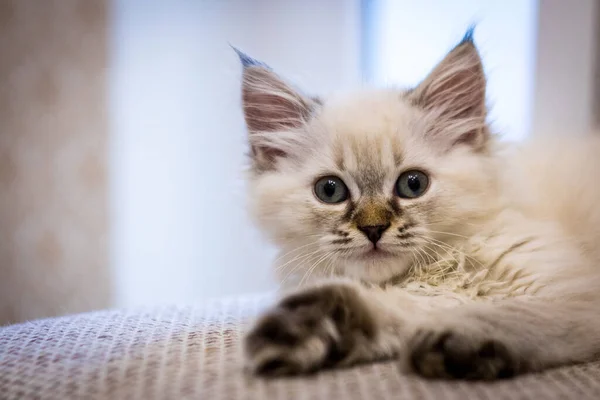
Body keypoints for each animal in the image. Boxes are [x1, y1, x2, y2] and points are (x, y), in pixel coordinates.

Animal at [233, 32, 600, 382]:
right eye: (330, 190)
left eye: (413, 185)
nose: (373, 228)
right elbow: (389, 311)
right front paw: (309, 331)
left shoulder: (573, 297)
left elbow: (511, 313)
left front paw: (454, 340)